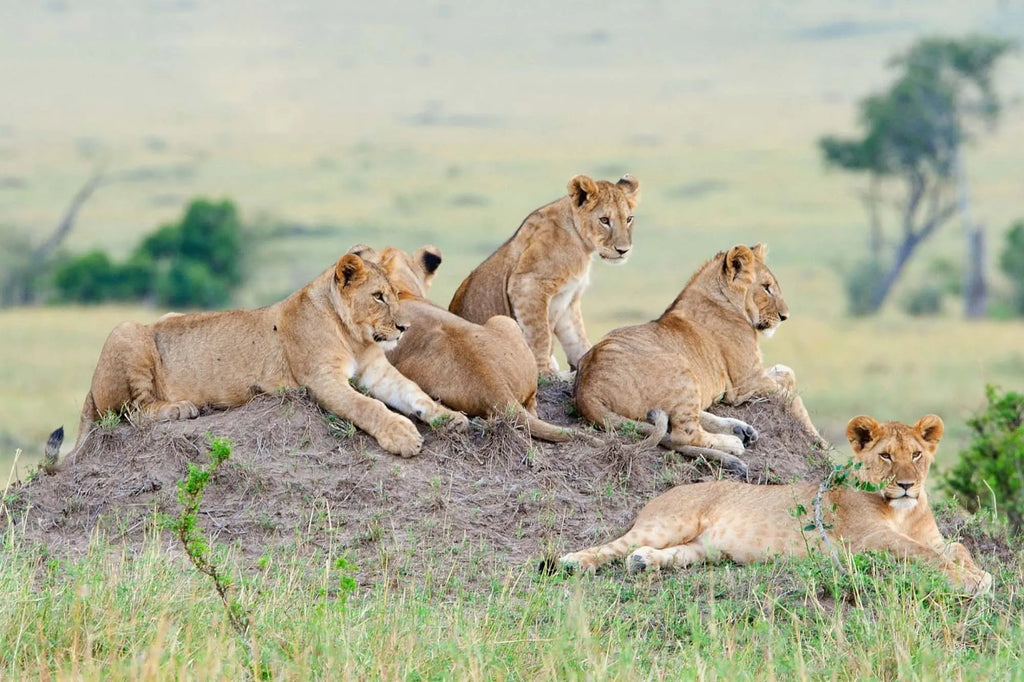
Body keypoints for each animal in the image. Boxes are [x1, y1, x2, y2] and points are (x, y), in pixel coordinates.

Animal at [43, 253, 469, 473]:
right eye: (379, 296)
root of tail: (90, 389)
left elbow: (414, 393)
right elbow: (367, 407)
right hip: (126, 331)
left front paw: (451, 418)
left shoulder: (375, 372)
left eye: (396, 294)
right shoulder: (322, 380)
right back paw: (181, 409)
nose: (404, 327)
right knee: (130, 412)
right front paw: (402, 436)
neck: (354, 336)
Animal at [449, 174, 640, 377]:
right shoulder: (528, 285)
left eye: (628, 219)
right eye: (604, 220)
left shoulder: (569, 298)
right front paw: (544, 371)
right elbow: (540, 334)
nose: (623, 250)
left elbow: (577, 337)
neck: (581, 244)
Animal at [558, 414, 993, 596]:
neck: (902, 512)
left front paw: (979, 573)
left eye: (917, 454)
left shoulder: (929, 536)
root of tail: (666, 492)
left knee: (661, 553)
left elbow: (955, 546)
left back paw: (644, 561)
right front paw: (970, 582)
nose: (906, 485)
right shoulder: (869, 539)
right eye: (886, 456)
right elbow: (924, 554)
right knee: (613, 546)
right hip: (668, 523)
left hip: (702, 549)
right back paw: (574, 561)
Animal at [573, 243, 821, 475]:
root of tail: (586, 390)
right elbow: (793, 396)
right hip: (680, 367)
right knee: (683, 435)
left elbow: (787, 371)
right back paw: (733, 442)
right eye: (766, 287)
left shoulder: (753, 376)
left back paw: (741, 430)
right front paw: (819, 441)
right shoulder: (746, 382)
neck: (723, 300)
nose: (784, 316)